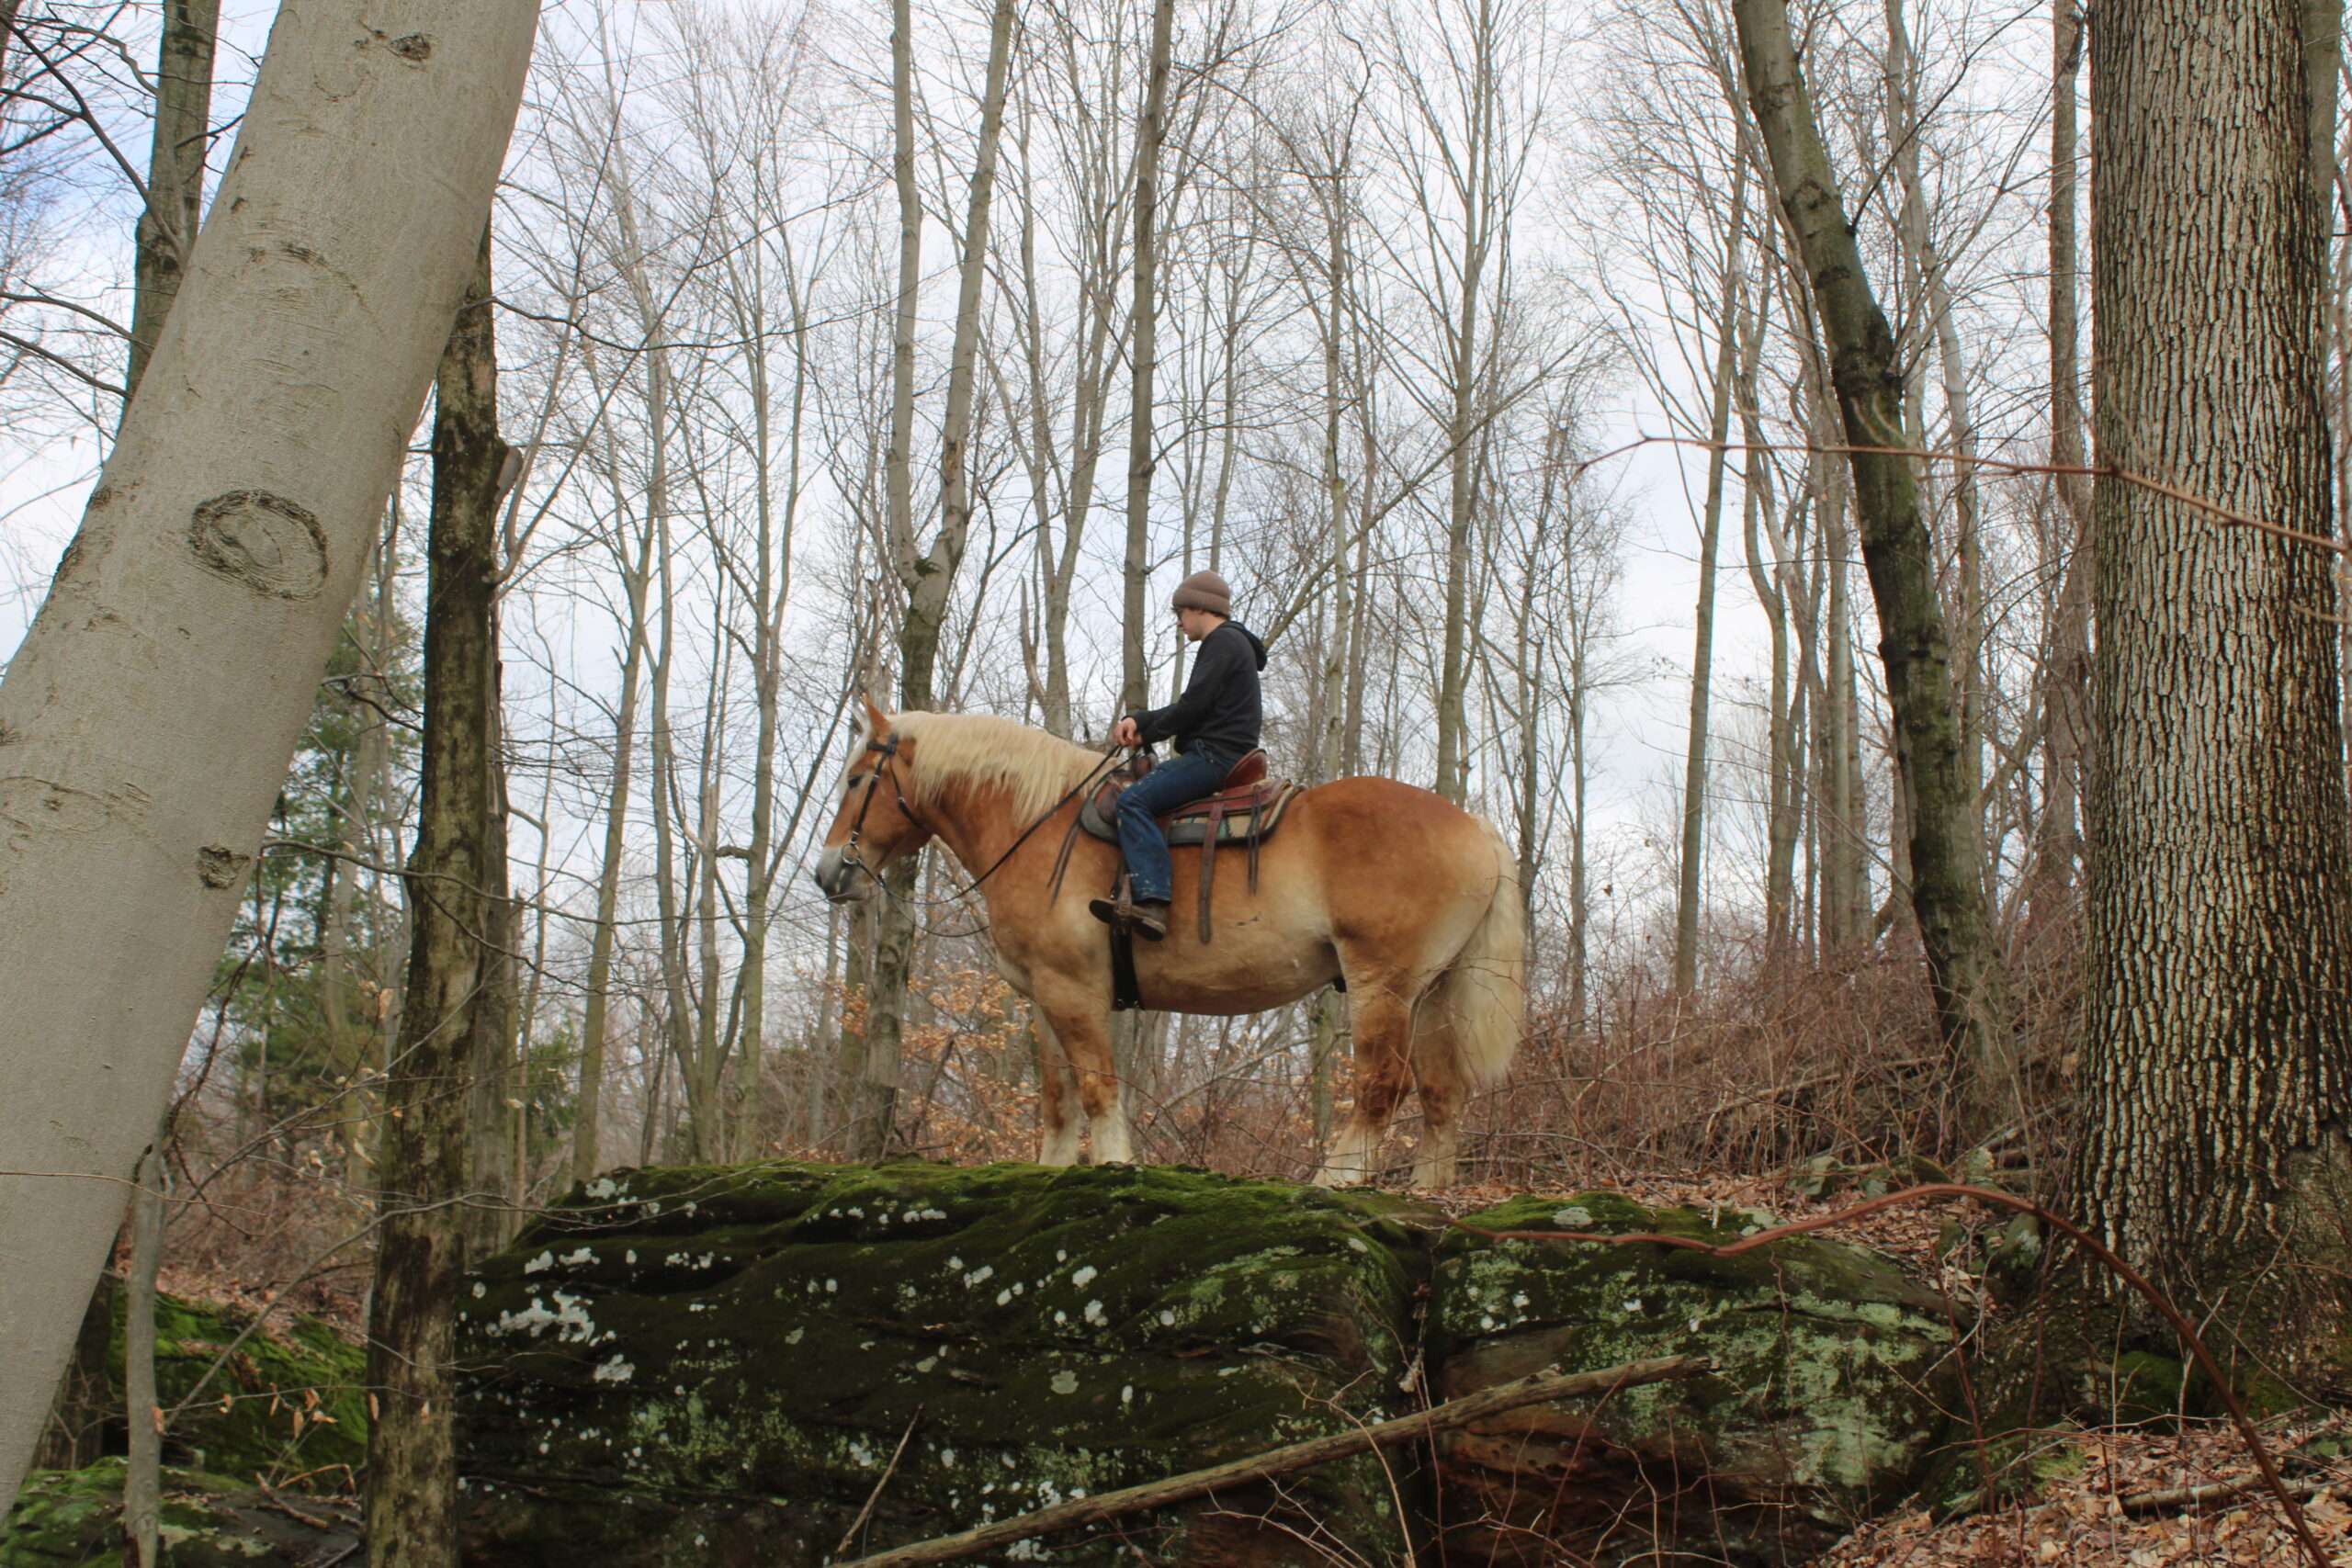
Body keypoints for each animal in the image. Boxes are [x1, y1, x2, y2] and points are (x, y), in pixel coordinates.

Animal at [811, 697, 1525, 1187]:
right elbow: (1058, 1103)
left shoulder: (1074, 990)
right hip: (1434, 993)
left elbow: (1097, 1089)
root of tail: (1475, 828)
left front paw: (1116, 1167)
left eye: (856, 780)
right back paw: (1425, 1192)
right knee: (1441, 1093)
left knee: (1384, 1085)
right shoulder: (1042, 998)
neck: (1037, 825)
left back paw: (1330, 1183)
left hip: (1384, 985)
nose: (828, 873)